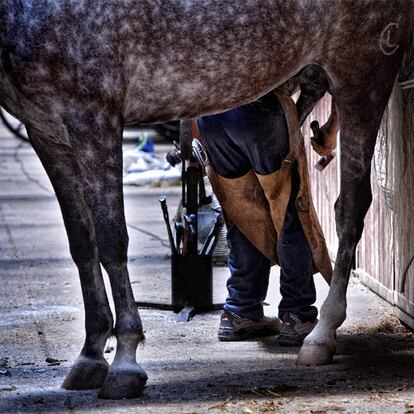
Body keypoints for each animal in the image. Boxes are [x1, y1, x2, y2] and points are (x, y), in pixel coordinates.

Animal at [0, 0, 414, 402]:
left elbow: (112, 243)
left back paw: (321, 334)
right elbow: (83, 246)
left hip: (362, 70)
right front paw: (89, 357)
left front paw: (124, 363)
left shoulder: (94, 118)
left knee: (350, 208)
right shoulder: (48, 133)